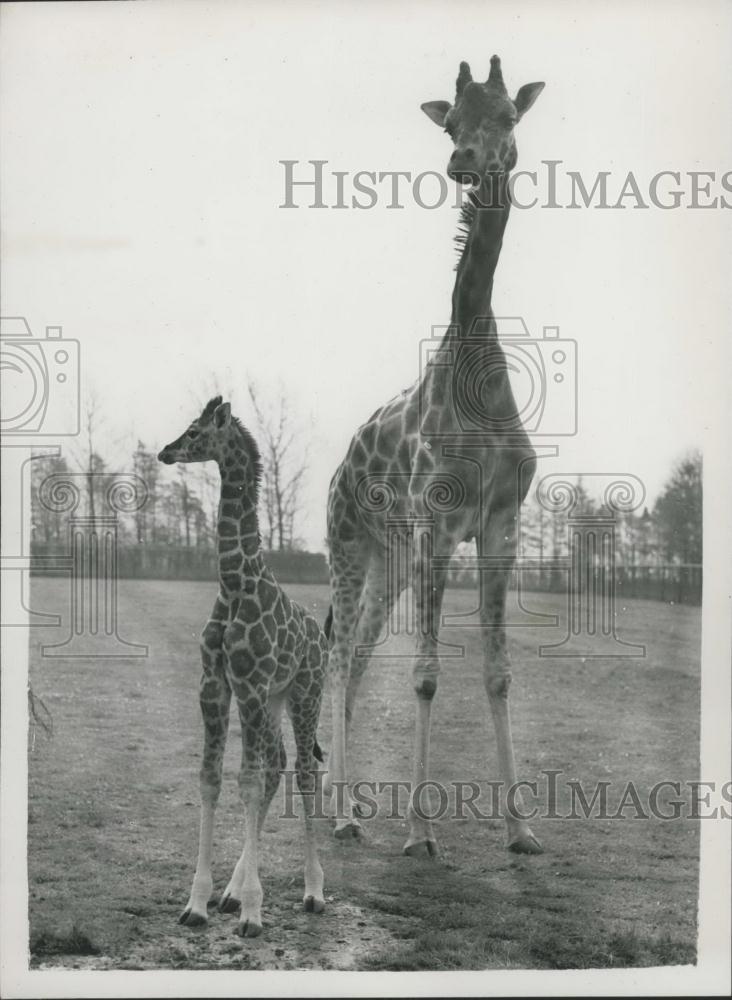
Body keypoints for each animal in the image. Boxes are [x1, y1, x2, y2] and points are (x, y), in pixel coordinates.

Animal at [159, 394, 328, 932]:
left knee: (302, 771)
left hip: (304, 693)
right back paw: (232, 892)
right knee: (276, 764)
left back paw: (314, 892)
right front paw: (198, 902)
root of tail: (321, 635)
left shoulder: (249, 685)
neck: (235, 582)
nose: (165, 452)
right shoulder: (216, 684)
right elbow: (212, 779)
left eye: (195, 432)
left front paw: (253, 912)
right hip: (273, 700)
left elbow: (248, 783)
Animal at [324, 54, 544, 856]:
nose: (464, 162)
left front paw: (520, 828)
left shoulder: (501, 525)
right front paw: (419, 830)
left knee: (356, 655)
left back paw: (348, 807)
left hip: (388, 559)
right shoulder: (436, 524)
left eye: (507, 116)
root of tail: (339, 468)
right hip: (351, 545)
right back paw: (343, 813)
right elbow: (423, 674)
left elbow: (499, 673)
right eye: (451, 125)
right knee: (337, 658)